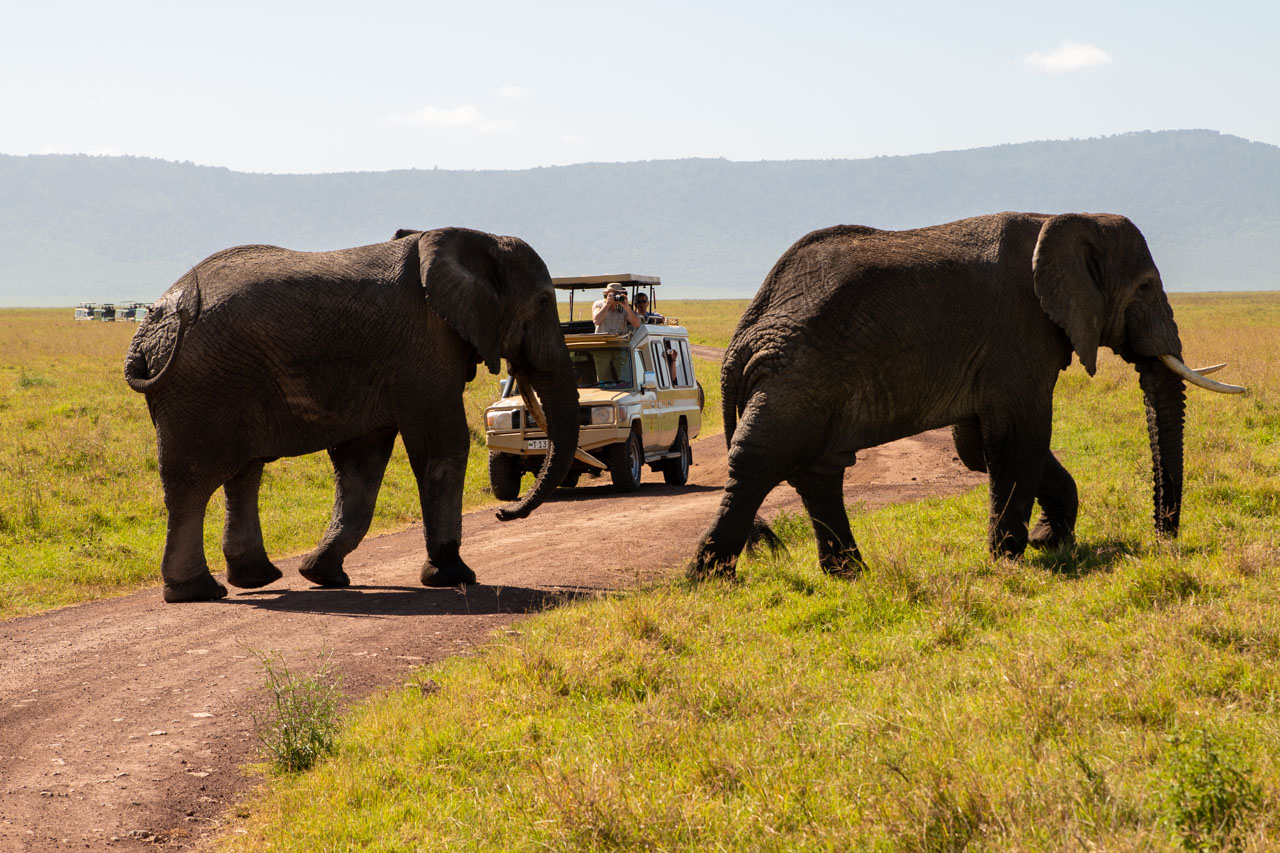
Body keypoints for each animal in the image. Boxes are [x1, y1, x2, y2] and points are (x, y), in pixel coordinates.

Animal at [123, 225, 576, 596]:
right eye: (543, 301)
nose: (502, 512)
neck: (476, 240)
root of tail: (152, 325)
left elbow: (360, 465)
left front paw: (322, 575)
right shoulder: (422, 346)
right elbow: (442, 446)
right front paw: (454, 577)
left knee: (243, 472)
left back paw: (256, 579)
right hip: (201, 385)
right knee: (193, 481)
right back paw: (197, 591)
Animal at [696, 211, 1244, 578]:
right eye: (1145, 288)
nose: (1163, 538)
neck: (1060, 218)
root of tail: (744, 332)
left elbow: (983, 446)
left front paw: (1048, 542)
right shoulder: (1019, 333)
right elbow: (1019, 437)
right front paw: (1012, 558)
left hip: (803, 380)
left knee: (817, 471)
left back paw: (851, 576)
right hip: (796, 376)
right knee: (760, 462)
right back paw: (708, 579)